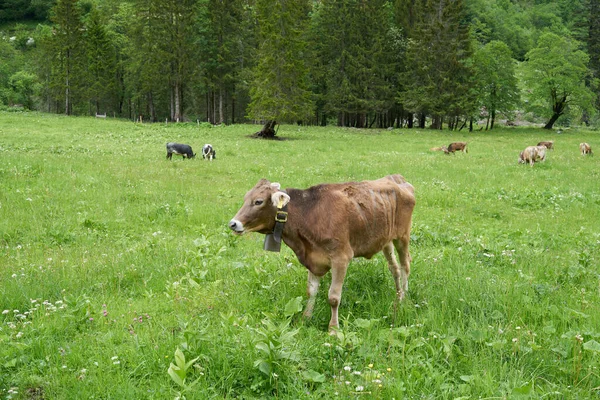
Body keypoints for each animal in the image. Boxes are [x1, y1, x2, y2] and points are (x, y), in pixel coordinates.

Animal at [230, 175, 418, 332]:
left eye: (258, 201)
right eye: (246, 198)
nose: (233, 223)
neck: (309, 213)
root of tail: (396, 178)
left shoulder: (341, 257)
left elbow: (333, 297)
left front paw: (333, 329)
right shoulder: (313, 258)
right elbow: (311, 291)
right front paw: (305, 318)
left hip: (403, 236)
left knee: (405, 266)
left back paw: (404, 299)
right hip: (385, 239)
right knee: (394, 268)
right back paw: (398, 296)